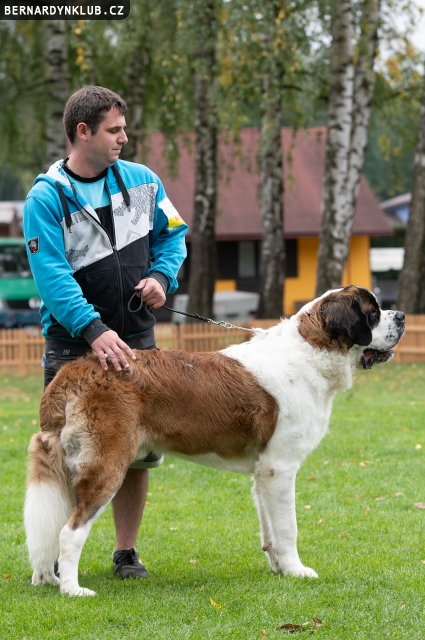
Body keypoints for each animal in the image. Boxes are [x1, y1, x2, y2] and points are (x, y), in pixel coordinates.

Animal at [24, 285, 405, 596]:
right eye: (372, 313)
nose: (400, 316)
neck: (314, 351)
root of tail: (77, 370)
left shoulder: (264, 472)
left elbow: (270, 528)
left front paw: (279, 569)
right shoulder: (280, 469)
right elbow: (288, 527)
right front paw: (297, 570)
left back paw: (48, 578)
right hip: (107, 465)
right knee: (69, 531)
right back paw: (72, 590)